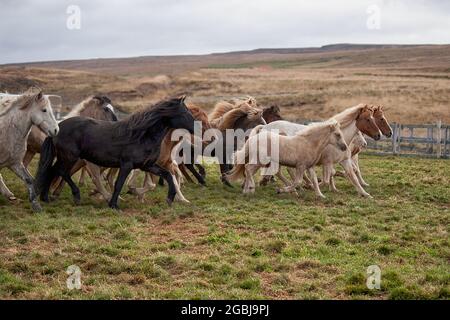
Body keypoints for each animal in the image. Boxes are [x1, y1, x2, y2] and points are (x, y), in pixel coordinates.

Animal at [34, 96, 196, 209]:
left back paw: (46, 198)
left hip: (67, 158)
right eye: (185, 112)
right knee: (61, 172)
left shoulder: (147, 165)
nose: (196, 127)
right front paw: (114, 204)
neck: (141, 135)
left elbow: (167, 176)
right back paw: (76, 195)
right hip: (69, 157)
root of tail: (57, 128)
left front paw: (170, 198)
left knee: (52, 171)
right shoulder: (126, 165)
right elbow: (119, 184)